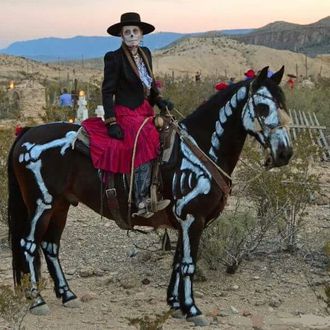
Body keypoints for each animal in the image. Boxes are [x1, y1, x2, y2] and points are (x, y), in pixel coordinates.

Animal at [7, 65, 292, 326]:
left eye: (284, 104)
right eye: (263, 107)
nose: (284, 153)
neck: (200, 149)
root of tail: (27, 133)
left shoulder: (183, 222)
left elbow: (177, 261)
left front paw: (175, 304)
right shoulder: (192, 218)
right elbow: (188, 263)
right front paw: (192, 309)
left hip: (61, 206)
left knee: (50, 246)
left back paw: (67, 295)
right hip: (41, 205)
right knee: (28, 244)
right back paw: (37, 300)